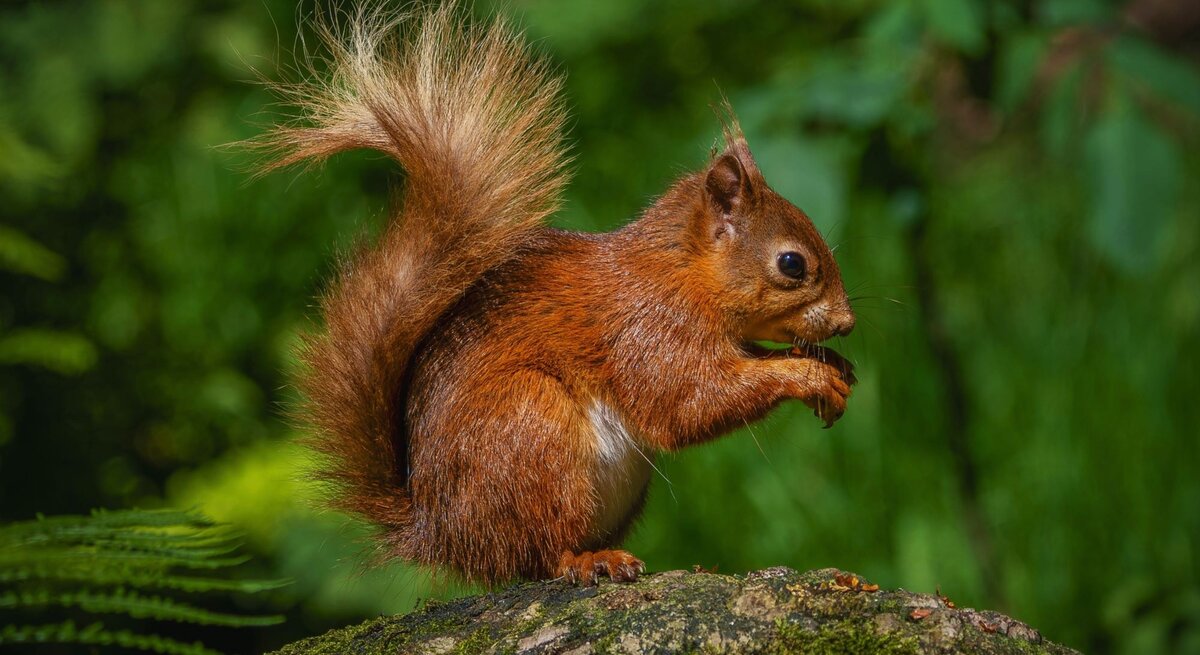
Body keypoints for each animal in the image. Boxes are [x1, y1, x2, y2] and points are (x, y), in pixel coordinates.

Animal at [254, 4, 856, 587]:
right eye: (792, 264)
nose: (848, 323)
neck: (678, 274)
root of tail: (443, 535)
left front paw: (833, 364)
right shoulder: (648, 331)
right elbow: (689, 402)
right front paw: (806, 374)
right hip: (532, 427)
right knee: (541, 554)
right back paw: (589, 562)